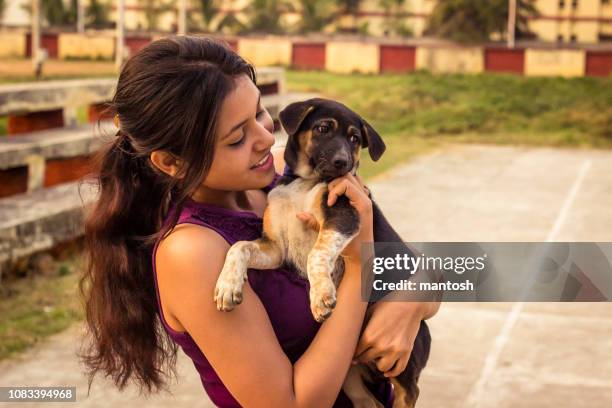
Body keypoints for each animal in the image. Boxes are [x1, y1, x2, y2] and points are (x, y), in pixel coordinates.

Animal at [215, 99, 430, 408]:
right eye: (323, 128)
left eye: (355, 139)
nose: (344, 163)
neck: (304, 183)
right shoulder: (275, 248)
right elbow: (238, 246)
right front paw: (227, 286)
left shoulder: (343, 216)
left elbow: (315, 253)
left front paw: (320, 297)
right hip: (349, 375)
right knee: (369, 401)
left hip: (402, 355)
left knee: (409, 391)